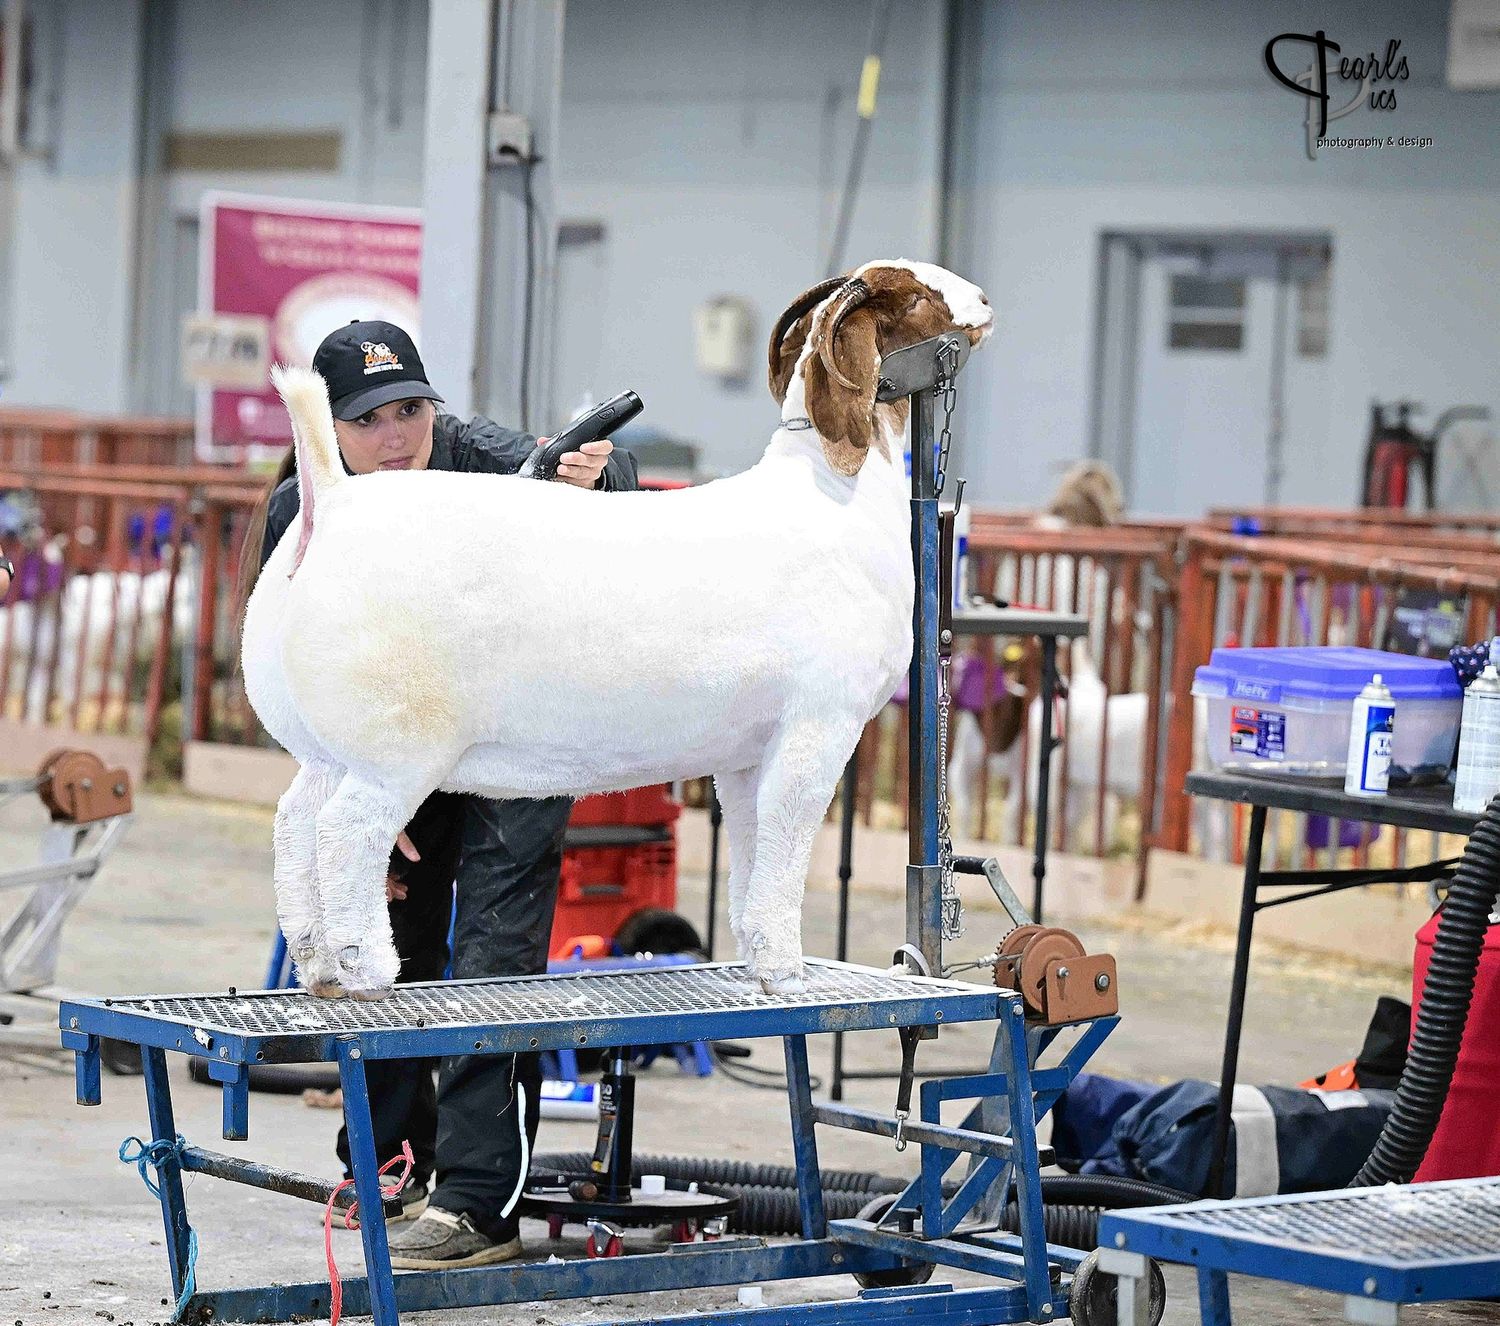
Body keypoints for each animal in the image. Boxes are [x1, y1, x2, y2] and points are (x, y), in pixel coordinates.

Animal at [242, 261, 993, 998]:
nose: (983, 299)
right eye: (918, 297)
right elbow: (786, 840)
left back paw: (317, 964)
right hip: (393, 749)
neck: (833, 493)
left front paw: (755, 956)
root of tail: (334, 499)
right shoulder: (818, 725)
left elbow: (752, 845)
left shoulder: (747, 753)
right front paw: (786, 971)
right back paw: (365, 970)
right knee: (345, 832)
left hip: (324, 744)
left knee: (295, 820)